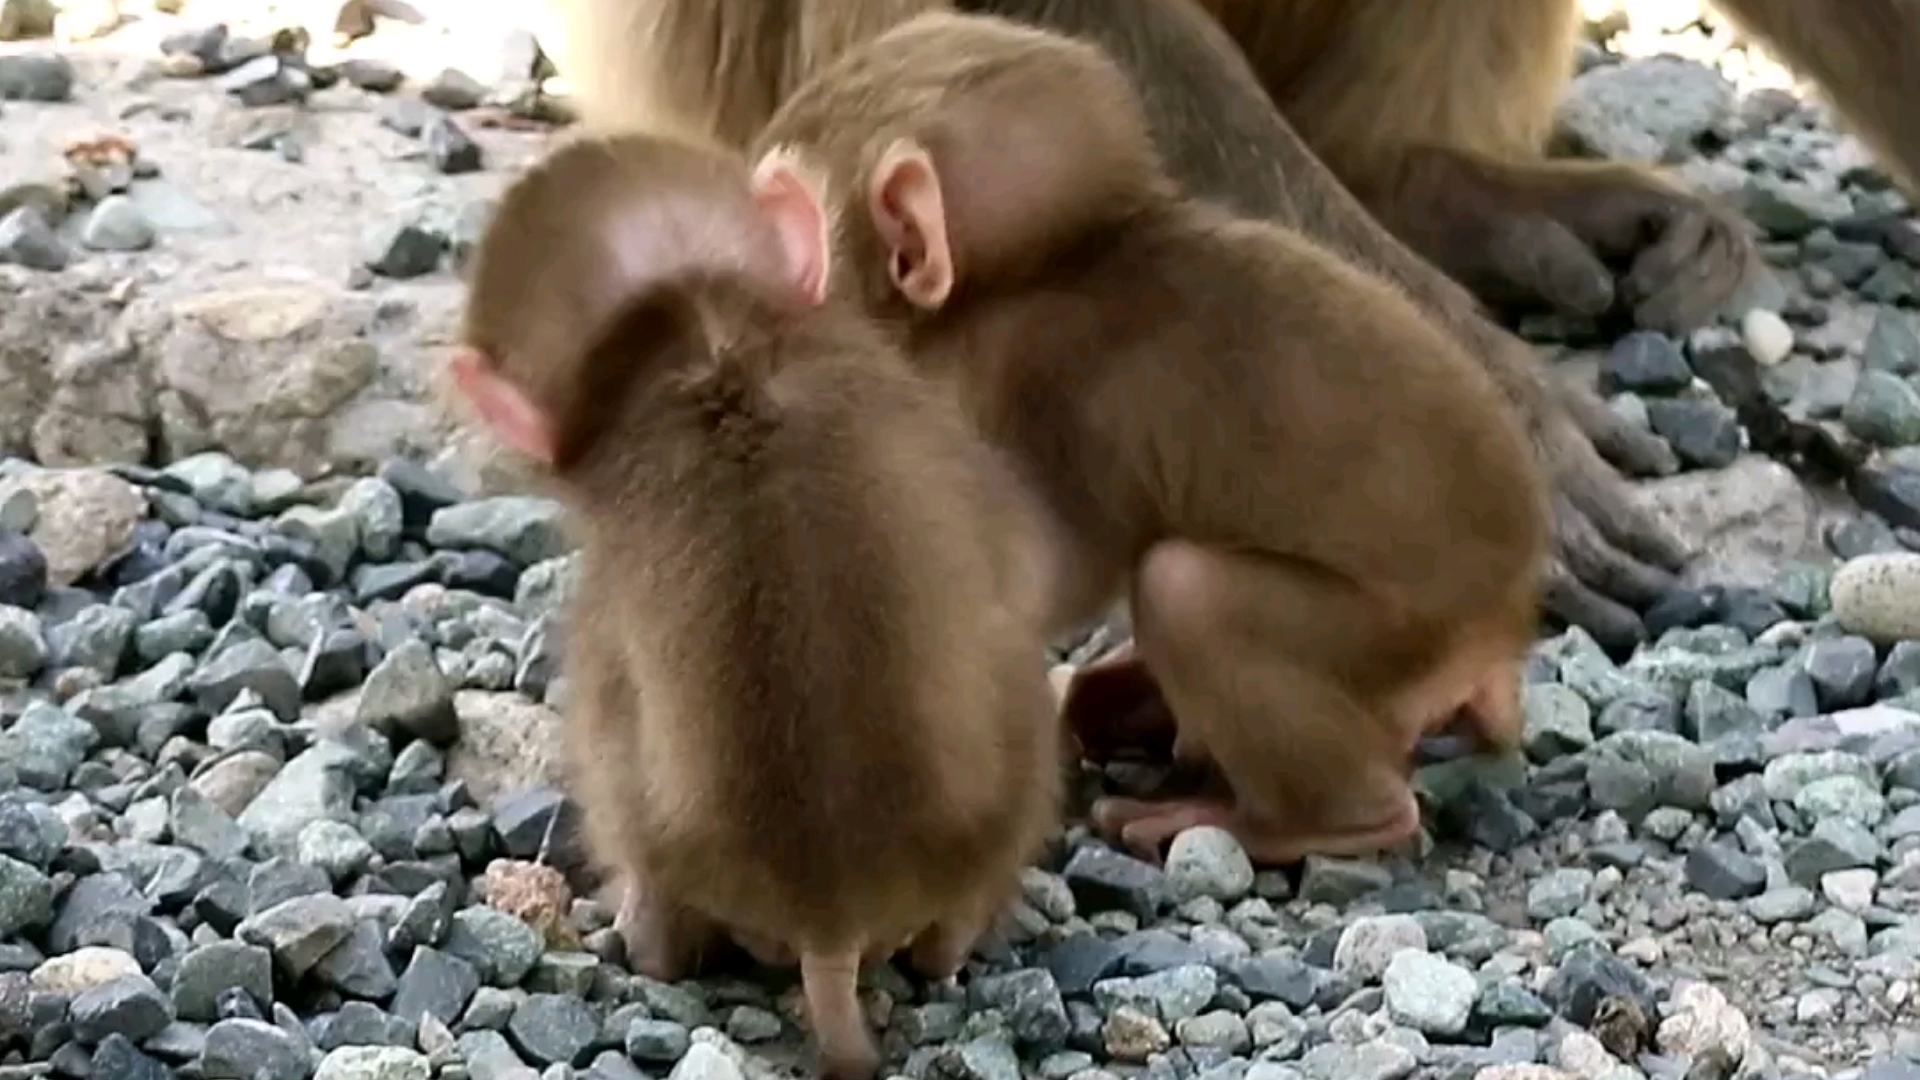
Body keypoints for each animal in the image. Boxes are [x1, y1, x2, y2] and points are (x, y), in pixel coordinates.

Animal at [756, 10, 1551, 864]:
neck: (1044, 271)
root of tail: (1499, 625)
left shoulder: (1015, 391)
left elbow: (1048, 574)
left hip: (1398, 638)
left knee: (1189, 593)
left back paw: (1309, 818)